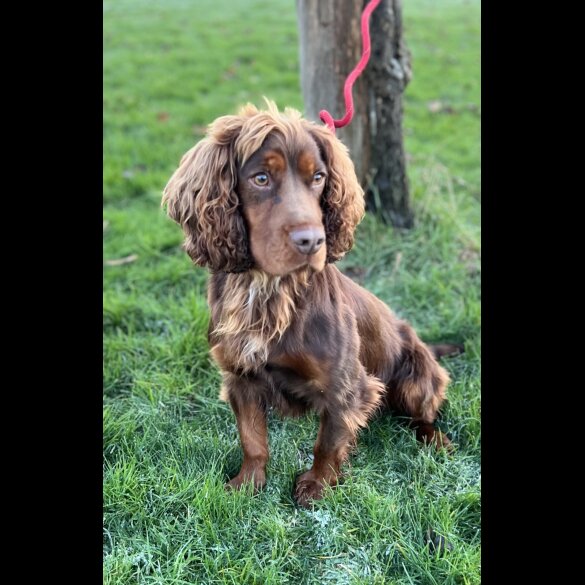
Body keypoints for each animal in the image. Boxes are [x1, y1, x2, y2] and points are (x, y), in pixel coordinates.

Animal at [162, 100, 454, 506]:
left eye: (318, 177)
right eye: (261, 178)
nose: (312, 241)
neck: (268, 288)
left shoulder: (344, 385)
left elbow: (328, 442)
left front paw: (316, 485)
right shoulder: (240, 376)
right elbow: (252, 439)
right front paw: (247, 483)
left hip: (417, 376)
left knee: (423, 414)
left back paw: (436, 439)